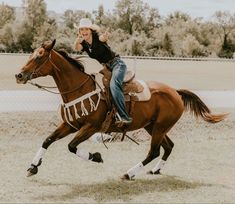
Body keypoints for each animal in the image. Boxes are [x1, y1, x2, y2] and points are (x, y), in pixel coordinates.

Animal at [15, 39, 227, 180]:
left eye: (39, 57)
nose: (19, 75)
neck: (80, 89)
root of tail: (175, 92)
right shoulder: (70, 125)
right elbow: (48, 140)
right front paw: (33, 166)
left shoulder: (91, 127)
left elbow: (71, 146)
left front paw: (96, 157)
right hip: (154, 126)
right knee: (168, 147)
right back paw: (156, 170)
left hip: (159, 127)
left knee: (154, 152)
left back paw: (129, 173)